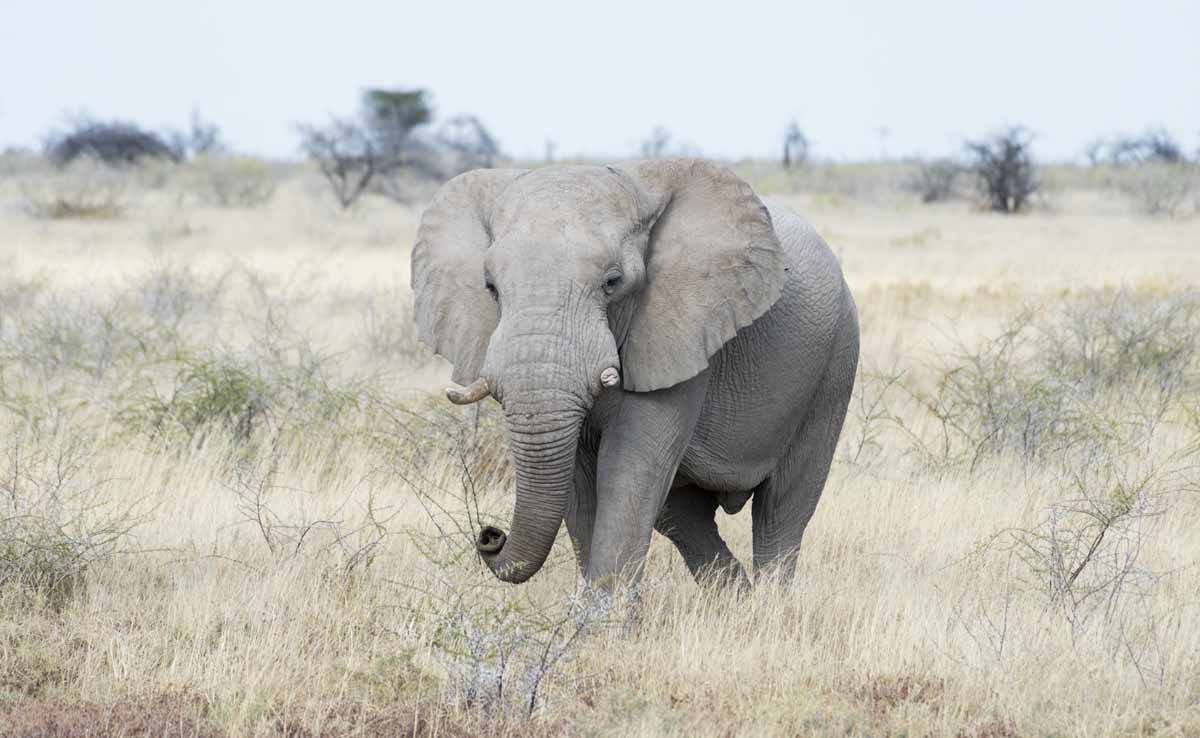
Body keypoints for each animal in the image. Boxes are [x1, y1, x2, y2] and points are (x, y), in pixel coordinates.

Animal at [415, 158, 864, 592]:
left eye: (612, 282)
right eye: (490, 287)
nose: (489, 535)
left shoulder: (681, 330)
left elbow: (628, 469)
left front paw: (601, 618)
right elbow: (579, 480)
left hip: (836, 361)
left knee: (781, 509)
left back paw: (768, 608)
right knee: (681, 515)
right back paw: (736, 602)